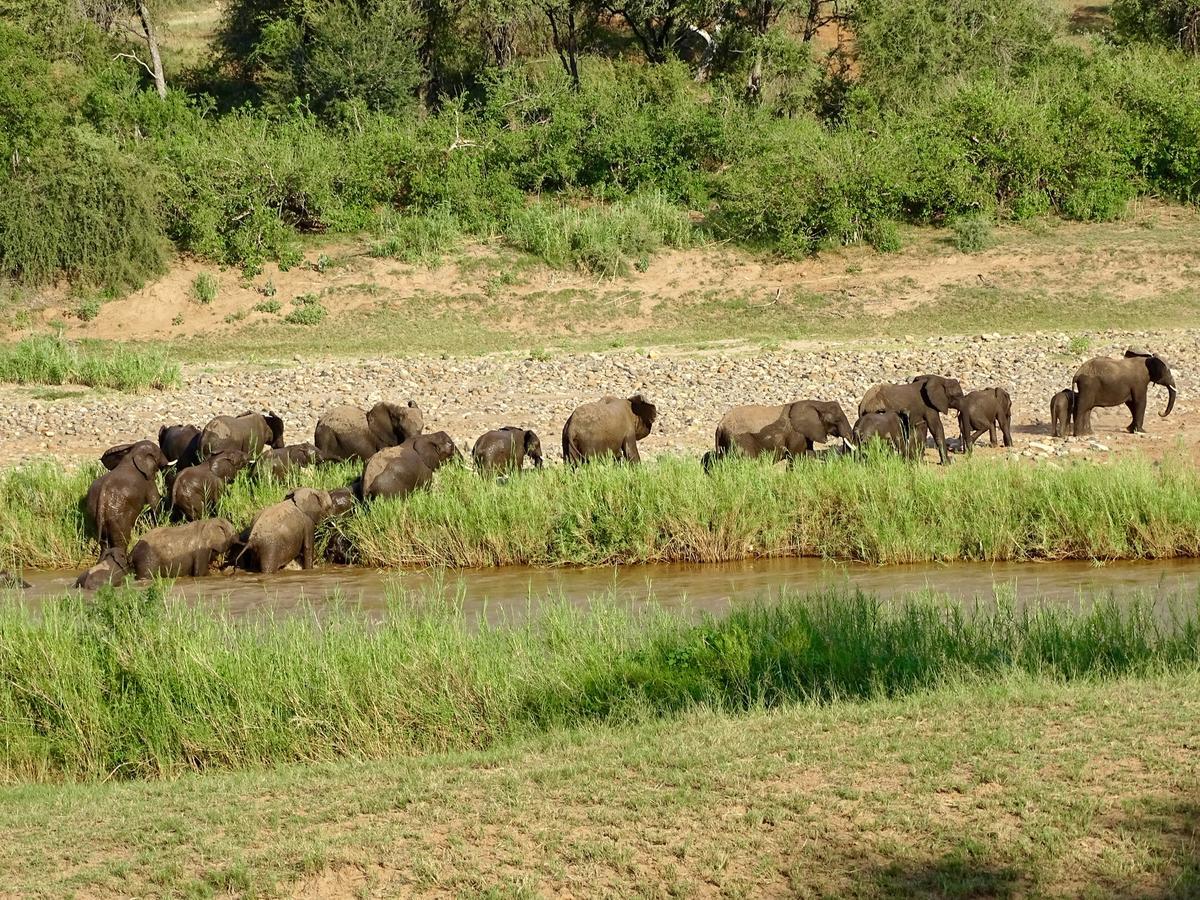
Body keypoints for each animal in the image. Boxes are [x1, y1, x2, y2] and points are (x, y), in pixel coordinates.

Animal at [705, 403, 859, 472]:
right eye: (836, 420)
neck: (817, 404)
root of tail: (719, 426)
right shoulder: (796, 433)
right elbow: (796, 457)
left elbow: (808, 454)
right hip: (739, 440)